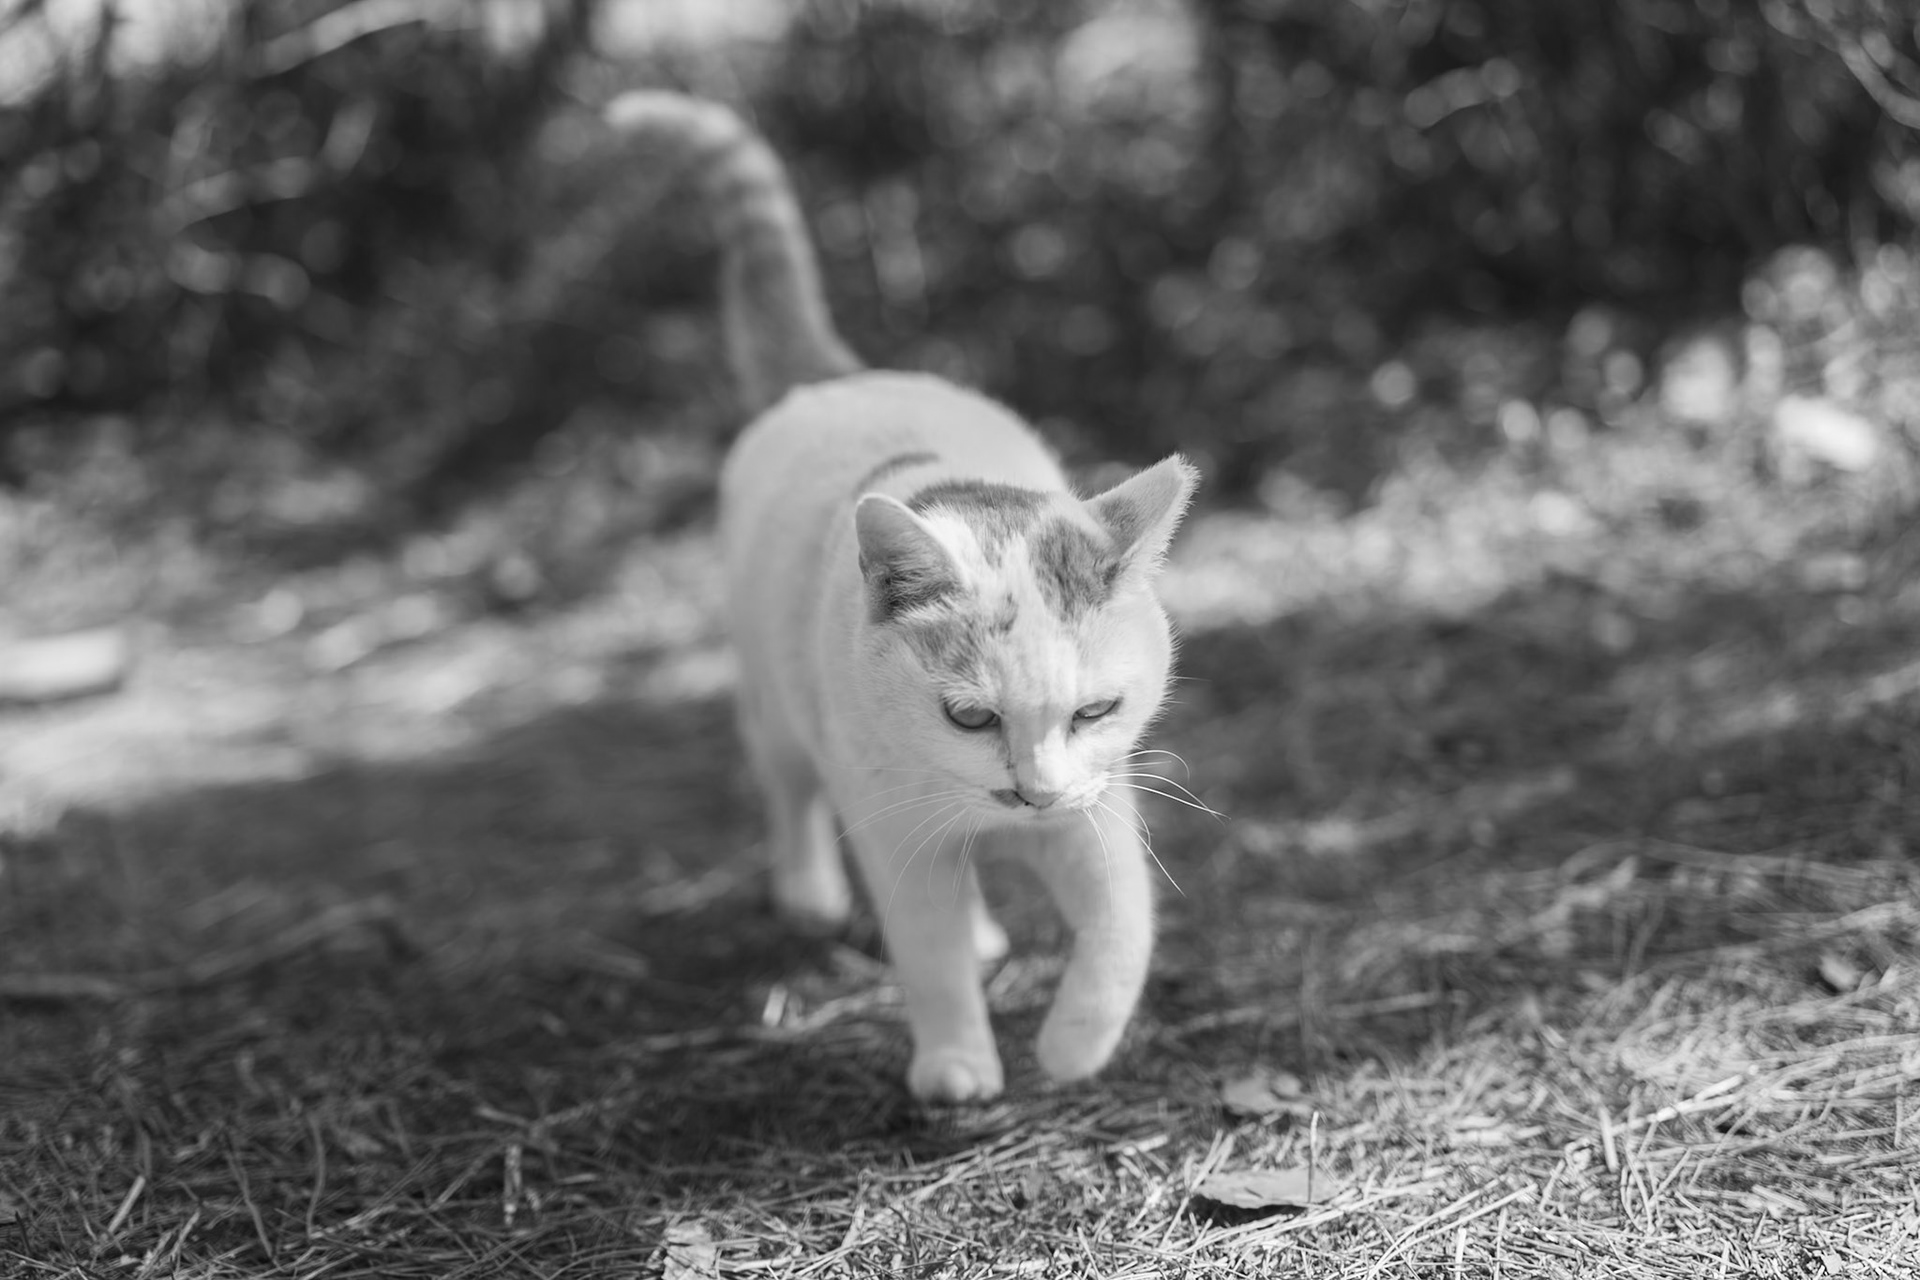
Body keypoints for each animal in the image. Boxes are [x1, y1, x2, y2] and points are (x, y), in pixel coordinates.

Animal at [608, 92, 1197, 1103]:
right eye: (969, 717)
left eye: (1095, 710)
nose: (1033, 793)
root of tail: (843, 378)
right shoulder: (902, 842)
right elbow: (928, 955)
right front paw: (958, 1063)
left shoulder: (1096, 814)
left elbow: (1122, 932)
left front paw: (1072, 1047)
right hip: (778, 714)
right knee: (788, 792)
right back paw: (811, 893)